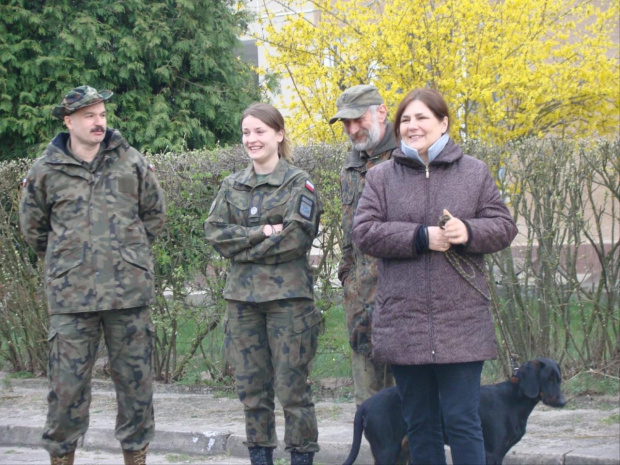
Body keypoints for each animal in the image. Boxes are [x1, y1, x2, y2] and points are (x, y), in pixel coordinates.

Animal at [344, 358, 568, 462]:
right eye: (548, 379)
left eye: (559, 379)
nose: (563, 402)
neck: (513, 401)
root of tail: (365, 406)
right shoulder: (491, 453)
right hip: (386, 450)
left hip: (402, 451)